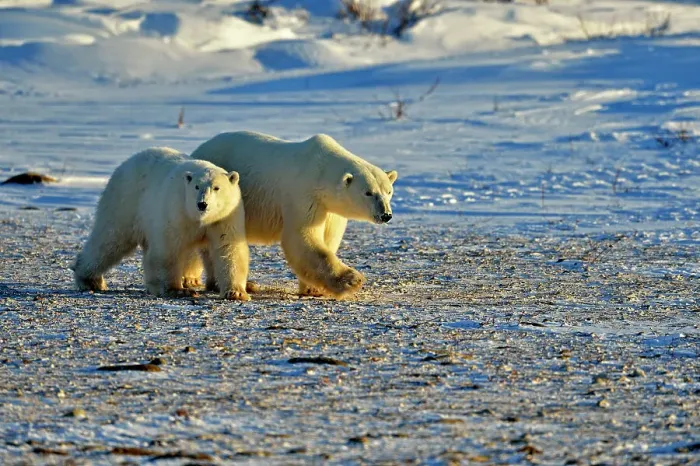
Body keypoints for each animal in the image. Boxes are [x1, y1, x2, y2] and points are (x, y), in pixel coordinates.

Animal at [72, 147, 250, 301]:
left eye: (216, 187)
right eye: (196, 186)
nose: (202, 204)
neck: (200, 218)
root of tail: (125, 164)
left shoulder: (225, 217)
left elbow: (228, 248)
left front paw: (236, 292)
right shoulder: (176, 210)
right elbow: (169, 248)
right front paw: (177, 290)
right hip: (126, 202)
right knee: (109, 240)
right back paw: (90, 279)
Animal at [189, 131, 398, 299]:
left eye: (388, 191)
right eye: (368, 192)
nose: (385, 214)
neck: (321, 171)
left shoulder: (332, 209)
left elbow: (328, 239)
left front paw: (314, 289)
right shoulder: (303, 194)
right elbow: (302, 238)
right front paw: (351, 280)